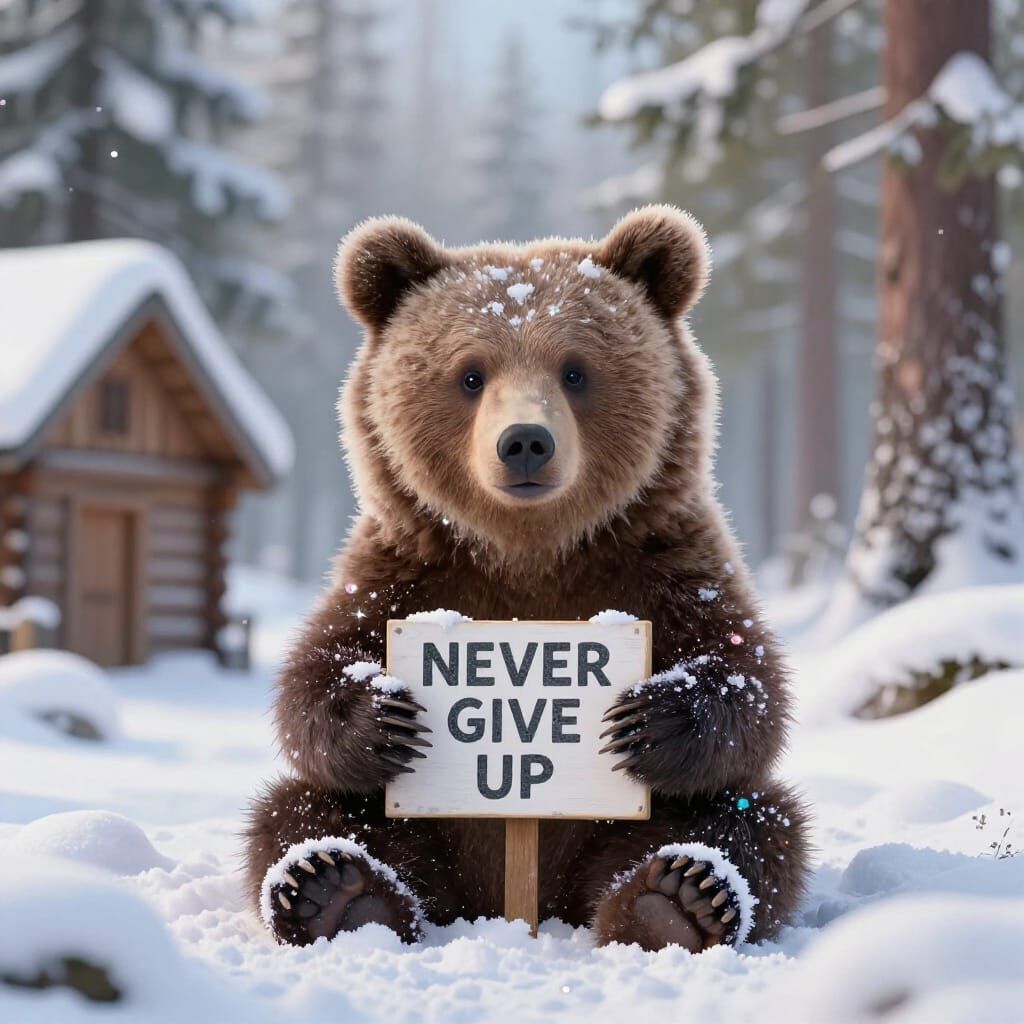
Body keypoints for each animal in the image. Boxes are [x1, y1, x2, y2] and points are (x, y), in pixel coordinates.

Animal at [244, 205, 810, 953]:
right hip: (420, 830)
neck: (530, 555)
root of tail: (517, 903)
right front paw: (383, 715)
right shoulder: (405, 569)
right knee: (300, 810)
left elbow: (746, 680)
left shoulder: (663, 560)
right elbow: (317, 674)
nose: (524, 442)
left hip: (622, 831)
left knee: (751, 818)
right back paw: (332, 890)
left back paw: (679, 899)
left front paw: (646, 717)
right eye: (470, 375)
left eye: (575, 370)